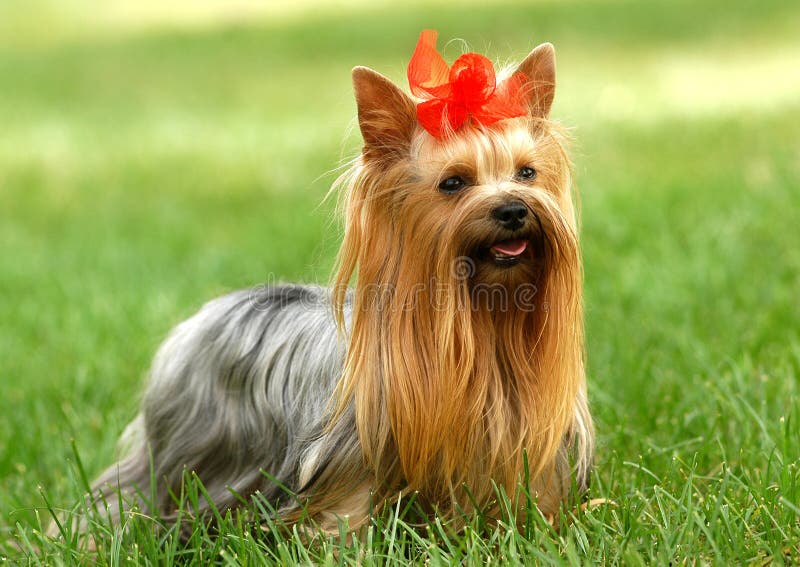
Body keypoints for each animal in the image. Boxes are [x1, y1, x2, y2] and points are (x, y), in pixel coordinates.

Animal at [92, 31, 592, 536]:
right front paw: (345, 542)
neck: (483, 322)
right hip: (189, 451)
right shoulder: (351, 454)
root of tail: (217, 307)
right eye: (452, 183)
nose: (513, 209)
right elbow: (346, 506)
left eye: (527, 173)